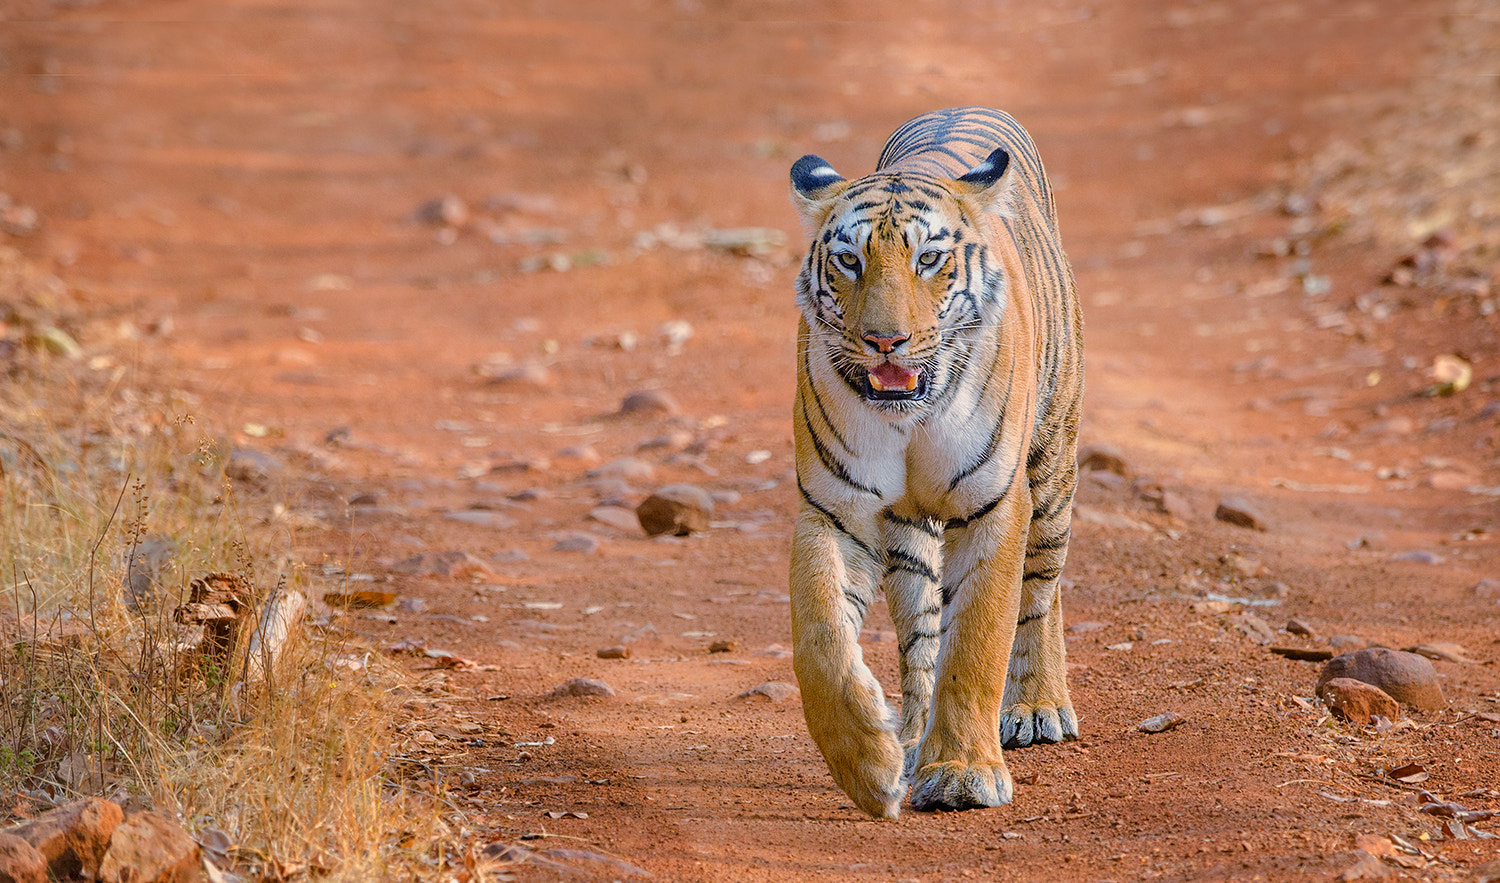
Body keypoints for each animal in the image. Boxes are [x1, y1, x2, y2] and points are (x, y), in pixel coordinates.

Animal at [786, 106, 1080, 815]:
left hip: (1052, 469)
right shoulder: (834, 510)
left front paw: (963, 773)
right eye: (848, 260)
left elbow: (976, 640)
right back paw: (915, 741)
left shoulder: (996, 504)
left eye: (928, 259)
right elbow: (820, 637)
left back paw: (1038, 706)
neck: (909, 416)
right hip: (908, 536)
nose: (885, 340)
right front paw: (868, 765)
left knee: (1042, 590)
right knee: (920, 638)